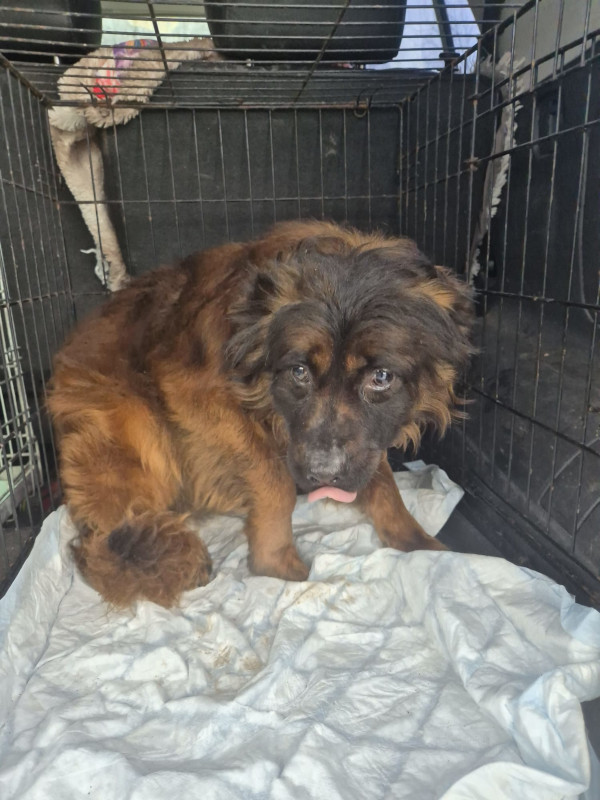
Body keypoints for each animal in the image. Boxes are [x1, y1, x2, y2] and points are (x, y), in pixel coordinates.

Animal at [48, 221, 473, 607]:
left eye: (381, 377)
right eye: (299, 371)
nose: (322, 473)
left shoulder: (363, 442)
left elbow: (382, 481)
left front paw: (420, 545)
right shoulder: (195, 399)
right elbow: (275, 481)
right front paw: (277, 564)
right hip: (134, 422)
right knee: (103, 541)